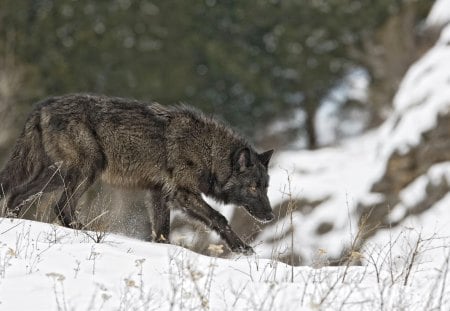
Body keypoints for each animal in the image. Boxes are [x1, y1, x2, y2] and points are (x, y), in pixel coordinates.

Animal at [0, 94, 274, 255]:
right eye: (253, 187)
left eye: (265, 187)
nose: (271, 216)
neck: (208, 151)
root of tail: (42, 106)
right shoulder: (182, 194)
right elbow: (219, 218)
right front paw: (242, 248)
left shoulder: (159, 193)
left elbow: (162, 230)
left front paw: (163, 249)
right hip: (88, 169)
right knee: (59, 206)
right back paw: (82, 229)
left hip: (56, 174)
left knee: (17, 193)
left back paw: (13, 219)